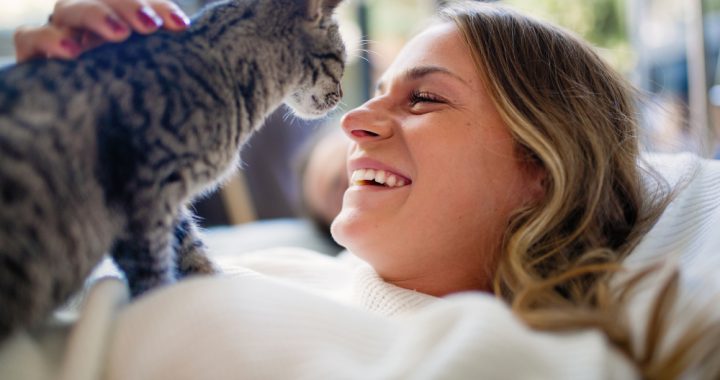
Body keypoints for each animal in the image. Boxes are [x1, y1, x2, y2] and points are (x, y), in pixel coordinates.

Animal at [0, 0, 346, 340]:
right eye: (342, 63)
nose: (342, 97)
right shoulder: (144, 195)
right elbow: (153, 270)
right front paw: (159, 303)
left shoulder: (168, 202)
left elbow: (191, 249)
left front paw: (211, 284)